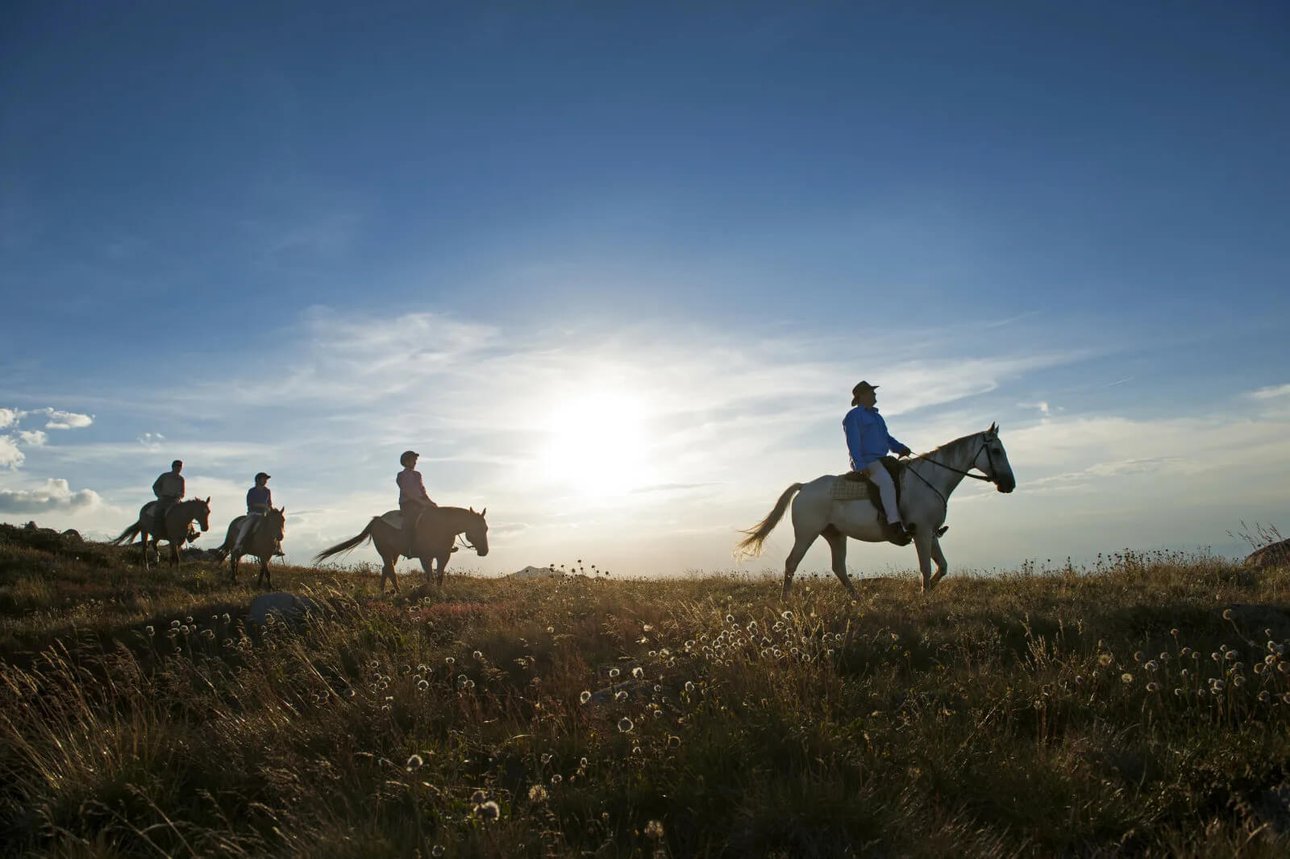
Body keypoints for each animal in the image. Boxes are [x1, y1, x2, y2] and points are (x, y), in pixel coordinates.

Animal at [314, 505, 490, 593]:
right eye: (477, 528)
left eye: (486, 528)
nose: (484, 552)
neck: (442, 526)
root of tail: (376, 520)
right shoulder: (425, 557)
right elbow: (430, 576)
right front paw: (430, 593)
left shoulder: (443, 555)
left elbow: (439, 576)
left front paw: (439, 593)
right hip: (385, 552)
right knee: (391, 571)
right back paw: (398, 592)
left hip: (394, 553)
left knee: (386, 569)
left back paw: (382, 592)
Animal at [743, 420, 1011, 595]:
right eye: (996, 450)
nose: (1009, 484)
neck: (930, 479)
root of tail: (805, 486)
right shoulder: (923, 532)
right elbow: (925, 567)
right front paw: (924, 596)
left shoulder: (931, 533)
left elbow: (942, 567)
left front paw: (929, 590)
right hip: (807, 533)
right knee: (791, 563)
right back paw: (786, 600)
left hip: (835, 535)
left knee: (838, 568)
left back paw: (856, 599)